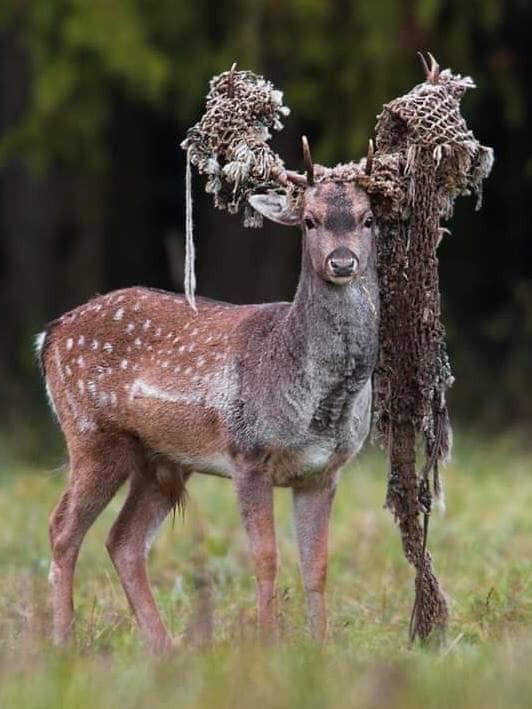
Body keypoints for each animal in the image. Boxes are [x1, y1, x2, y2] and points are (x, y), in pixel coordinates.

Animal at [37, 138, 378, 652]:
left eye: (367, 218)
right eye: (310, 220)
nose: (342, 262)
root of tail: (50, 334)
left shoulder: (324, 471)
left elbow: (316, 565)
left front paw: (320, 649)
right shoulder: (248, 453)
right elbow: (265, 558)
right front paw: (267, 645)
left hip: (161, 460)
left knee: (123, 540)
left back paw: (165, 648)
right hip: (92, 434)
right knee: (62, 529)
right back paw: (63, 644)